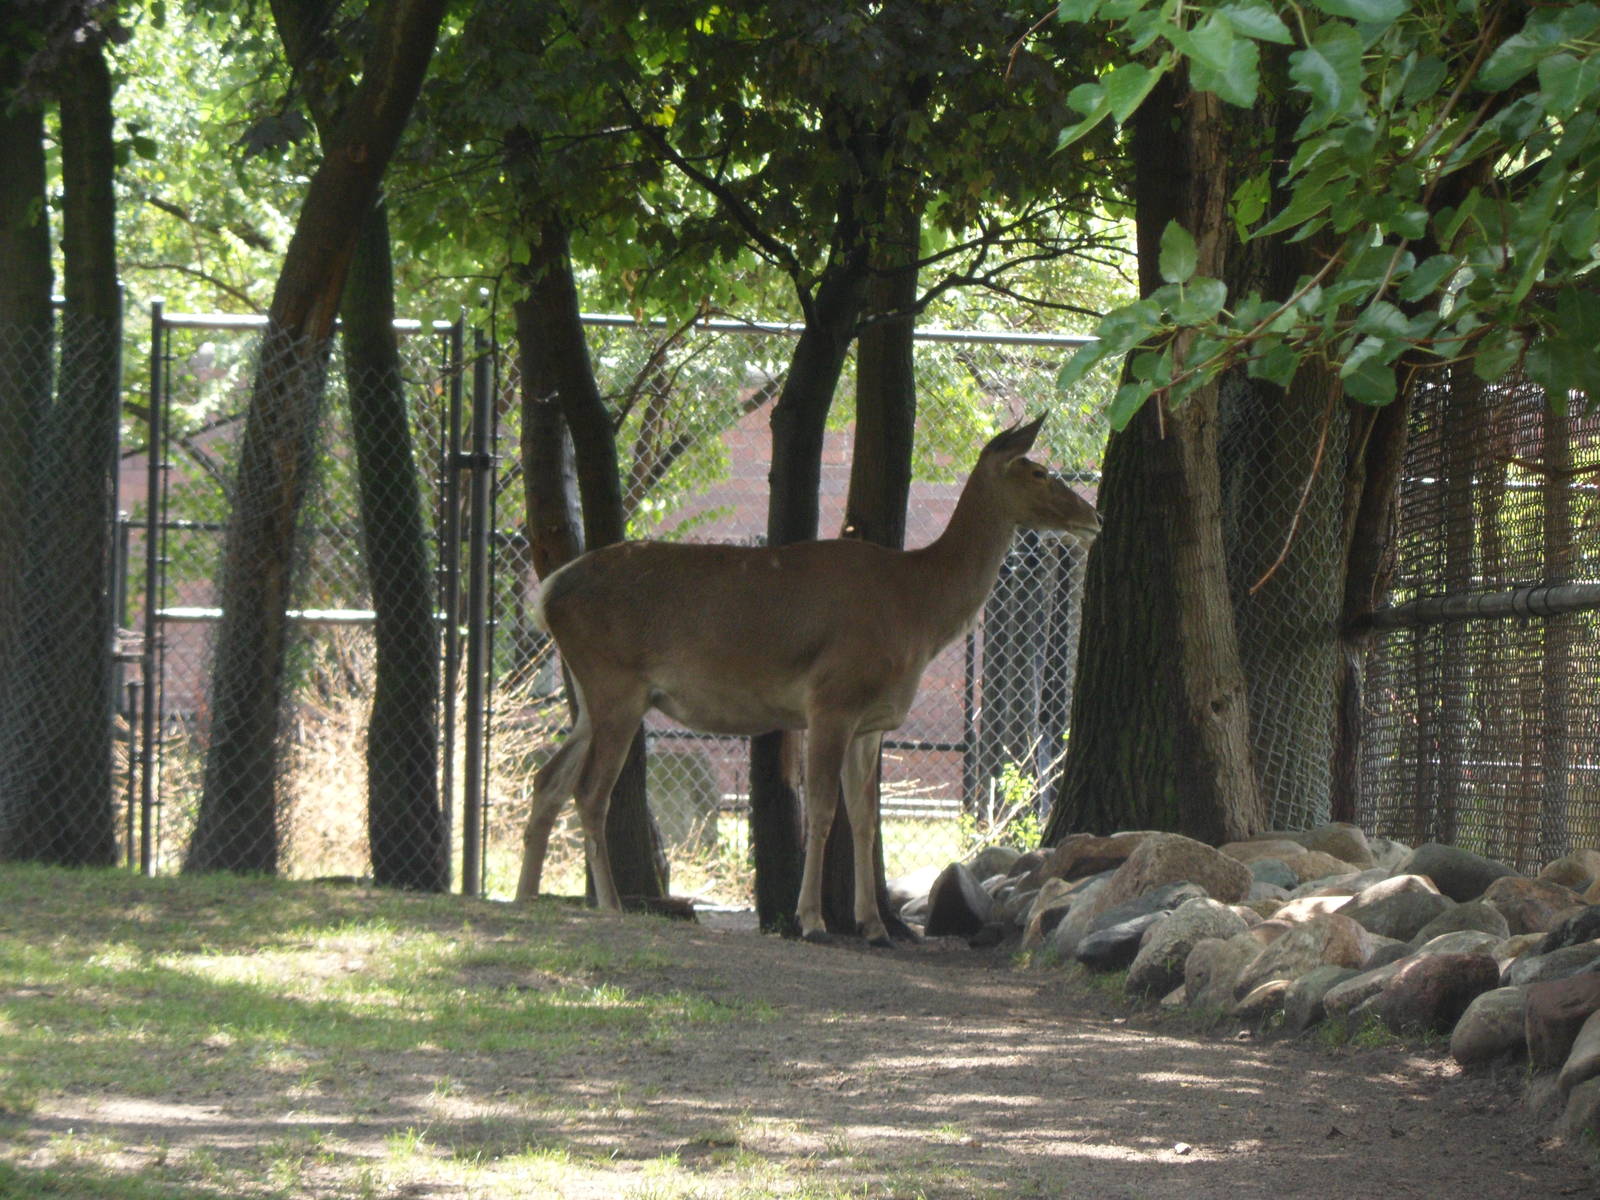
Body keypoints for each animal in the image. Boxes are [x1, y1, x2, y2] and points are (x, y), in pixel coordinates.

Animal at [515, 414, 1101, 945]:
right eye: (1039, 471)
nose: (1093, 516)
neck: (915, 609)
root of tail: (547, 593)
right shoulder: (832, 699)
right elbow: (821, 811)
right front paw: (813, 920)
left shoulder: (871, 722)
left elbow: (864, 820)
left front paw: (873, 926)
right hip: (615, 683)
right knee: (590, 791)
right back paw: (610, 905)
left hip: (589, 694)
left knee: (548, 780)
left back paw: (526, 895)